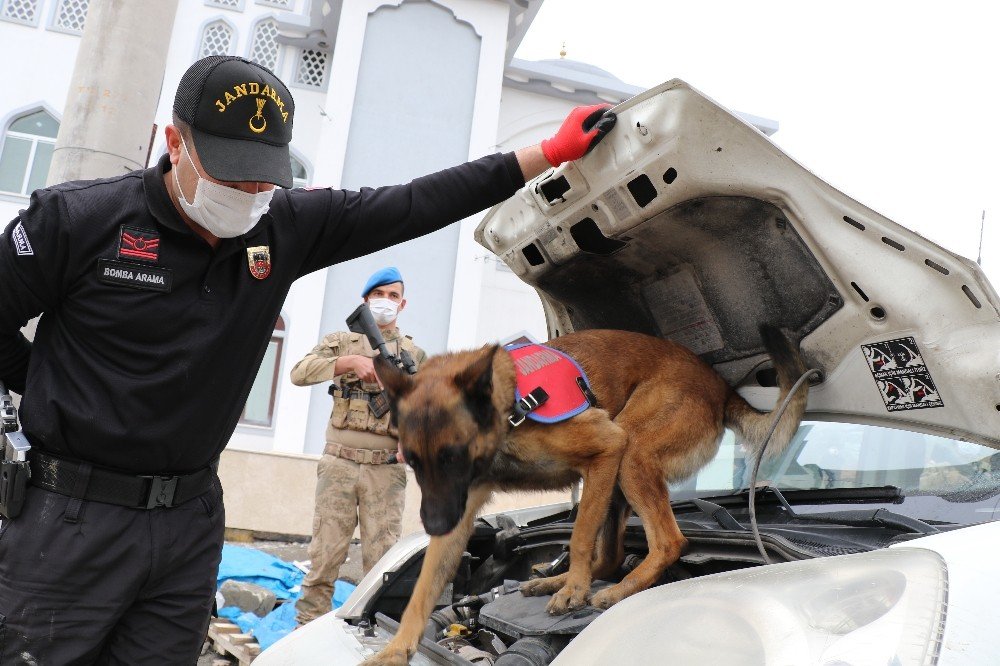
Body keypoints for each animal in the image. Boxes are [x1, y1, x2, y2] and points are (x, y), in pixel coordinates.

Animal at [364, 326, 808, 664]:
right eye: (412, 461)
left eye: (453, 456)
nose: (433, 524)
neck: (510, 409)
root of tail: (721, 386)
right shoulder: (458, 510)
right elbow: (423, 589)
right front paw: (396, 649)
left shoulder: (607, 449)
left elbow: (578, 536)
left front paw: (575, 589)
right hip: (618, 483)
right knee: (612, 555)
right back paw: (553, 581)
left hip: (631, 453)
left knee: (667, 541)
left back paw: (615, 589)